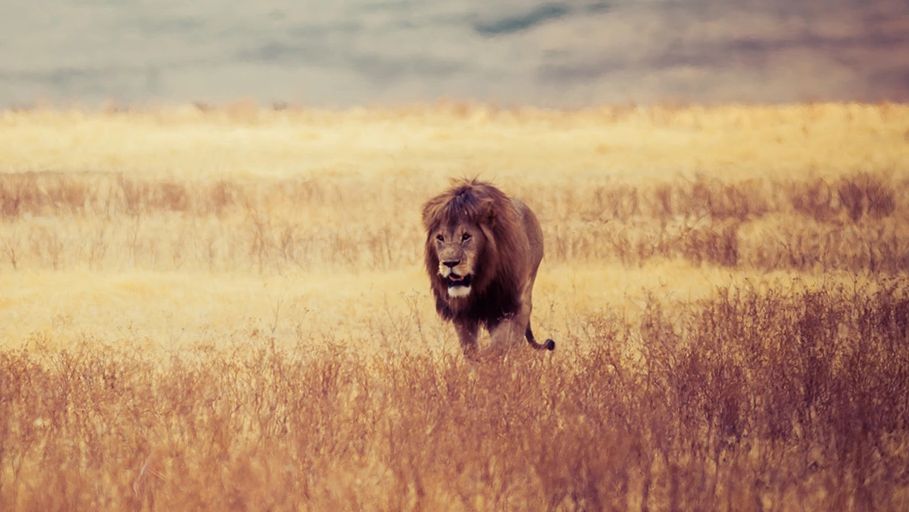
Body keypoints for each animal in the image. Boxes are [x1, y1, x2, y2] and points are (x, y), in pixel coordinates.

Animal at [424, 178, 556, 358]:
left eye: (466, 236)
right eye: (440, 238)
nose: (449, 263)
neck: (480, 281)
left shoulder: (505, 307)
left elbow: (499, 345)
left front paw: (491, 359)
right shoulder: (461, 314)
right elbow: (470, 349)